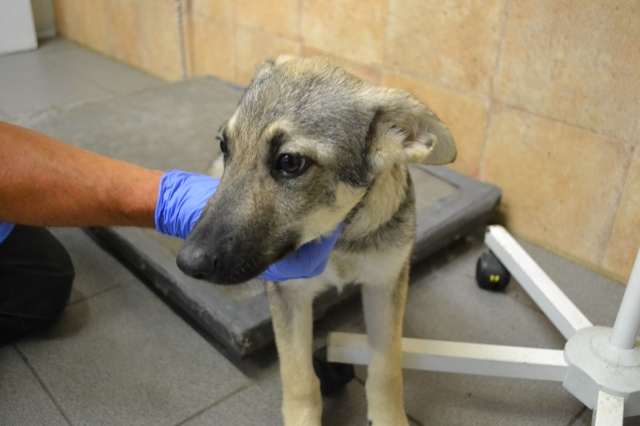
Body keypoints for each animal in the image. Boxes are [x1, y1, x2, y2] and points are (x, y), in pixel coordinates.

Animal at [177, 55, 456, 426]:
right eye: (225, 146)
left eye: (289, 162)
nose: (187, 263)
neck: (339, 238)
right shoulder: (290, 293)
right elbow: (299, 378)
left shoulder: (385, 283)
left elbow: (387, 366)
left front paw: (388, 417)